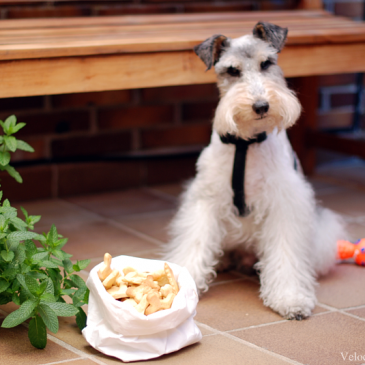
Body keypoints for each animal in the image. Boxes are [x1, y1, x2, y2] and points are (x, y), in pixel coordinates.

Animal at [163, 22, 346, 318]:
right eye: (232, 71)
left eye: (267, 63)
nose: (261, 106)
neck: (245, 144)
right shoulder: (206, 199)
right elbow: (195, 241)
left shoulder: (285, 203)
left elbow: (286, 253)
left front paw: (290, 298)